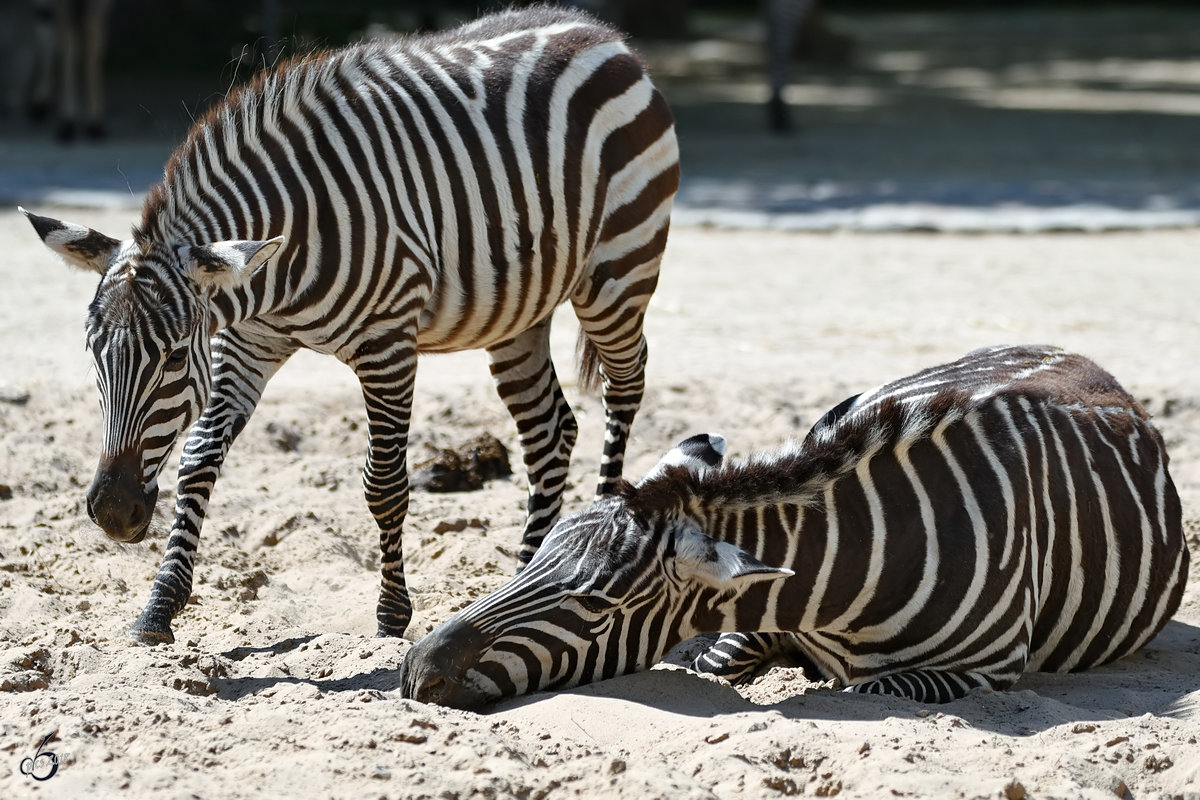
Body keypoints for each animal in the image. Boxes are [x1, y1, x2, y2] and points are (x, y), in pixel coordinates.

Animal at [21, 6, 676, 642]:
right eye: (92, 354)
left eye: (177, 356)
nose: (113, 513)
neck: (278, 268)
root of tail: (601, 33)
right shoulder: (248, 342)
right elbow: (198, 458)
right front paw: (160, 606)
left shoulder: (387, 345)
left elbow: (383, 484)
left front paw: (391, 614)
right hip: (517, 310)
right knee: (549, 431)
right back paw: (527, 573)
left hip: (619, 271)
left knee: (625, 384)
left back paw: (602, 535)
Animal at [403, 345, 1190, 705]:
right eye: (529, 560)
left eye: (595, 605)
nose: (416, 668)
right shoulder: (756, 615)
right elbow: (721, 656)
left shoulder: (984, 671)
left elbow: (864, 689)